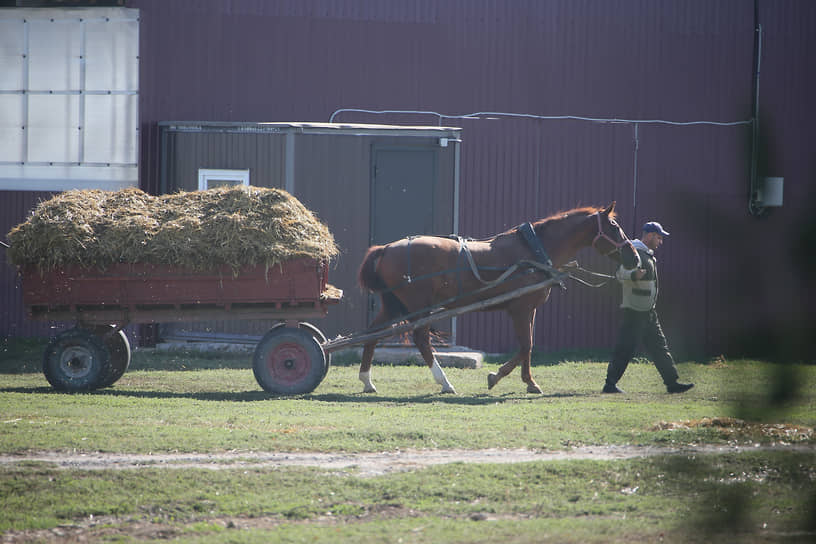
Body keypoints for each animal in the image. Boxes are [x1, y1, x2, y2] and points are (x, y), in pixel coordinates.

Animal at [356, 202, 632, 394]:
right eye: (615, 227)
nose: (634, 256)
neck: (533, 251)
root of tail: (386, 249)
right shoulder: (520, 309)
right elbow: (526, 345)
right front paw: (498, 377)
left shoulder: (529, 309)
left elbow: (528, 345)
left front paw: (528, 382)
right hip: (417, 306)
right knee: (421, 339)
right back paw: (444, 382)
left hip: (394, 304)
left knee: (373, 334)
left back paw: (367, 380)